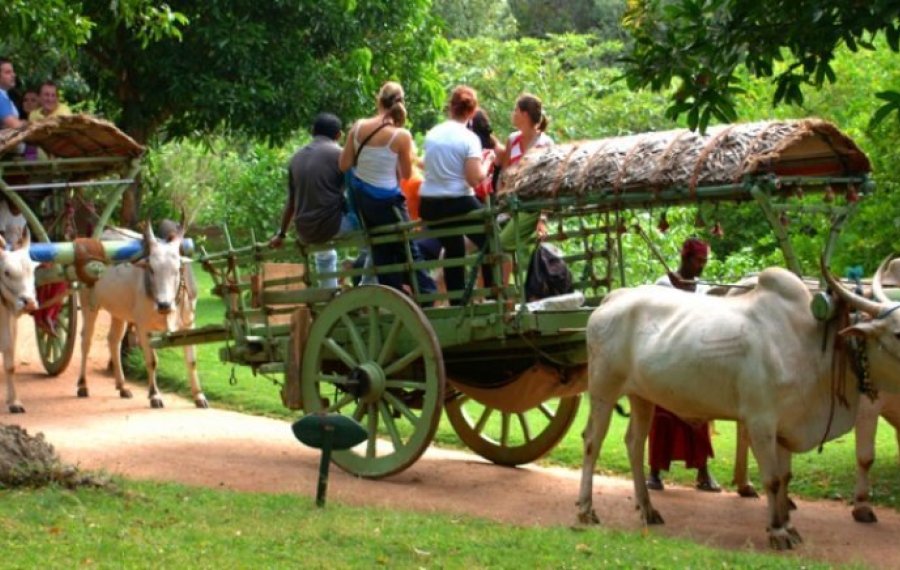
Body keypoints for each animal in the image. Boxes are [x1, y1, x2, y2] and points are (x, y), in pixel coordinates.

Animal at [76, 220, 207, 406]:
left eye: (177, 269)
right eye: (151, 269)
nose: (164, 305)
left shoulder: (189, 324)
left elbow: (192, 361)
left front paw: (199, 396)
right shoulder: (143, 326)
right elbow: (152, 361)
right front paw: (154, 395)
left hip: (119, 311)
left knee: (113, 340)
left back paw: (122, 386)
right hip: (88, 304)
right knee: (85, 341)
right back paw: (82, 385)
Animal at [580, 260, 900, 544]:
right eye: (897, 332)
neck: (811, 343)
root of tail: (612, 298)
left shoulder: (786, 425)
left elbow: (785, 477)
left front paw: (788, 524)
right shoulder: (761, 422)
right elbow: (772, 479)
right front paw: (778, 531)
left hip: (642, 397)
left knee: (634, 444)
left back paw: (648, 509)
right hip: (603, 389)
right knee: (592, 441)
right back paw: (586, 510)